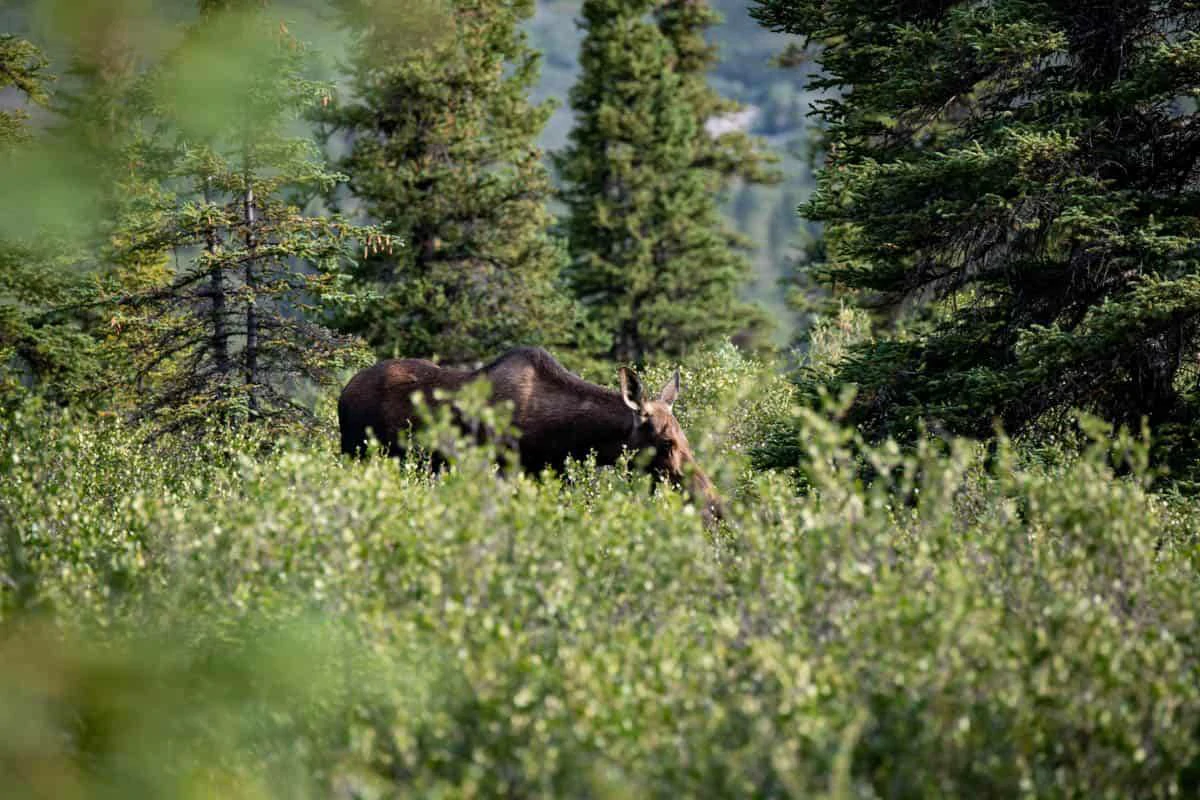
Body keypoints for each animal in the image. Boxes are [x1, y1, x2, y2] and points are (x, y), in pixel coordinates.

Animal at [338, 345, 720, 522]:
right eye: (666, 442)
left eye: (686, 438)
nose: (712, 502)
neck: (570, 437)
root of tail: (343, 392)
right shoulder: (505, 469)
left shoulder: (552, 473)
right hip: (358, 453)